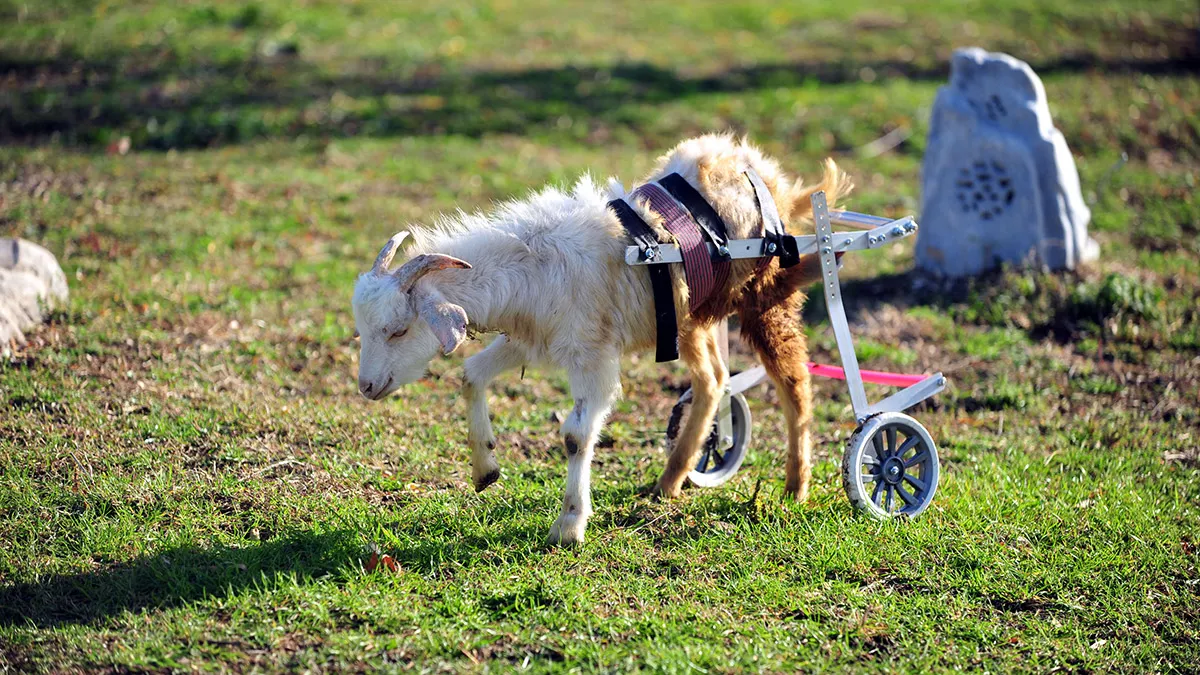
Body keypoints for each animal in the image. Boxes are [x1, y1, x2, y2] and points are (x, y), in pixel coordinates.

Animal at [350, 133, 849, 542]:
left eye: (398, 329)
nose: (367, 387)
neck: (534, 262)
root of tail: (769, 175)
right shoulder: (529, 339)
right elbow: (471, 375)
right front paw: (485, 468)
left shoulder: (593, 356)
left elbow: (576, 436)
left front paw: (569, 526)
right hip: (691, 315)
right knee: (713, 378)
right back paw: (670, 481)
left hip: (767, 295)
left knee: (794, 382)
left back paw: (796, 485)